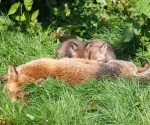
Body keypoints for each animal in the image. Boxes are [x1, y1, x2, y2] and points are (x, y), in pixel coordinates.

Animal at [0, 57, 150, 101]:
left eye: (20, 98)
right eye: (8, 93)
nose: (11, 108)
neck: (32, 74)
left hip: (118, 62)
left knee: (139, 67)